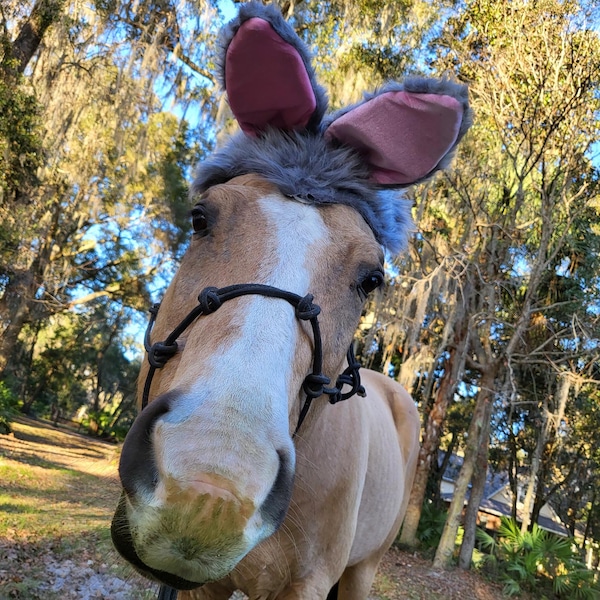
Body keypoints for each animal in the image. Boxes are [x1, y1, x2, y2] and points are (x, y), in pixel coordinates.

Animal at [110, 5, 472, 600]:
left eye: (371, 278)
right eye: (200, 218)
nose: (209, 490)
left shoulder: (311, 583)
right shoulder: (203, 586)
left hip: (362, 569)